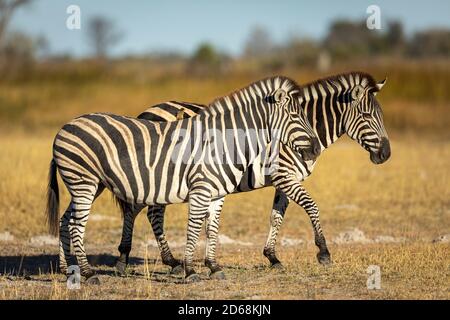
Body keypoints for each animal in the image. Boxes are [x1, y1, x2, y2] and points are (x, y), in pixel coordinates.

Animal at [46, 75, 320, 282]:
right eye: (296, 116)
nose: (316, 149)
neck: (224, 143)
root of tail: (64, 127)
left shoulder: (216, 194)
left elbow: (212, 228)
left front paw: (214, 267)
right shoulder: (200, 190)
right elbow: (194, 228)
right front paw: (190, 271)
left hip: (89, 185)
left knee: (64, 220)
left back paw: (67, 270)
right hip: (83, 182)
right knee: (76, 225)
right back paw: (89, 274)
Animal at [110, 71, 390, 276]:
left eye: (380, 115)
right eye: (367, 115)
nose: (386, 154)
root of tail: (147, 111)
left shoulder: (284, 181)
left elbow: (276, 216)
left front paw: (272, 257)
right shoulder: (284, 176)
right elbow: (312, 206)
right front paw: (323, 252)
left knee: (145, 210)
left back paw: (160, 260)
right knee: (144, 211)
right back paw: (142, 258)